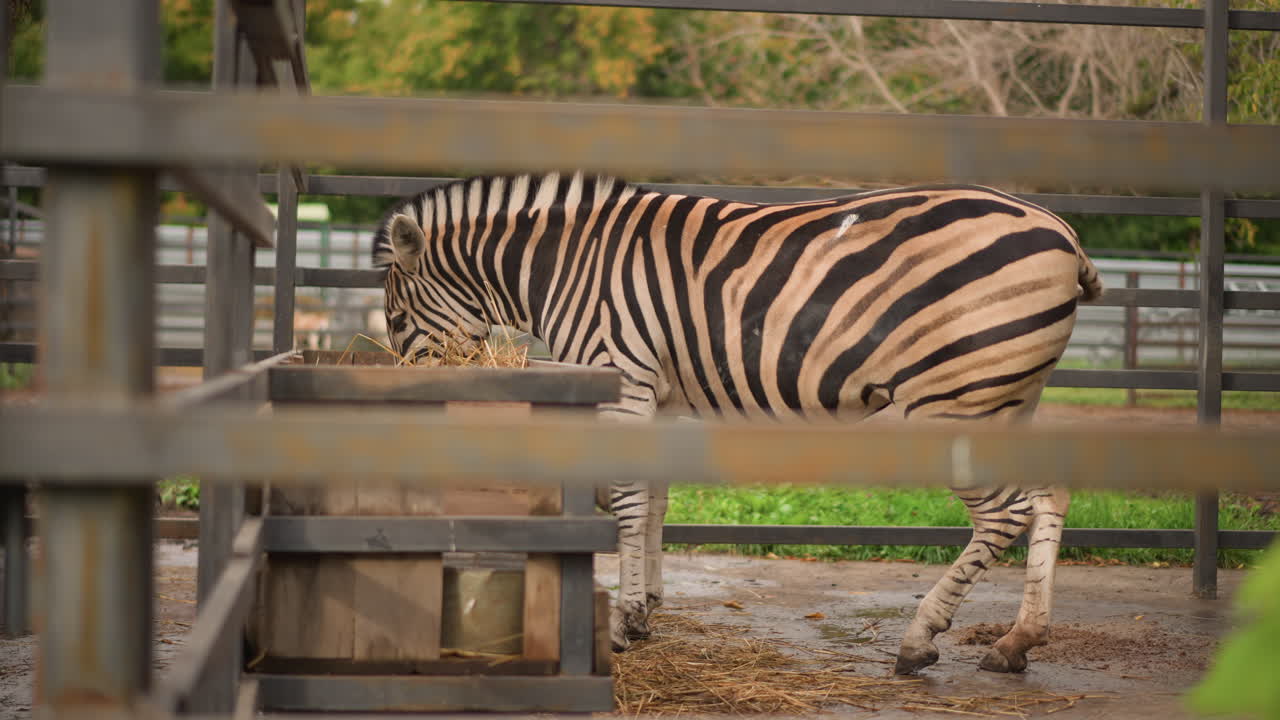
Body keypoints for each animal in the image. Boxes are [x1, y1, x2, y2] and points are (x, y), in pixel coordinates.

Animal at [372, 171, 1103, 675]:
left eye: (396, 315)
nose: (407, 395)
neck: (564, 265)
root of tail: (1062, 232)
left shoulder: (622, 372)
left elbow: (629, 500)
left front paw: (622, 622)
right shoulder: (659, 393)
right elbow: (654, 499)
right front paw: (647, 609)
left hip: (952, 402)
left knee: (1004, 512)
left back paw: (920, 638)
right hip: (1007, 397)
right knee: (1051, 495)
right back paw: (1016, 642)